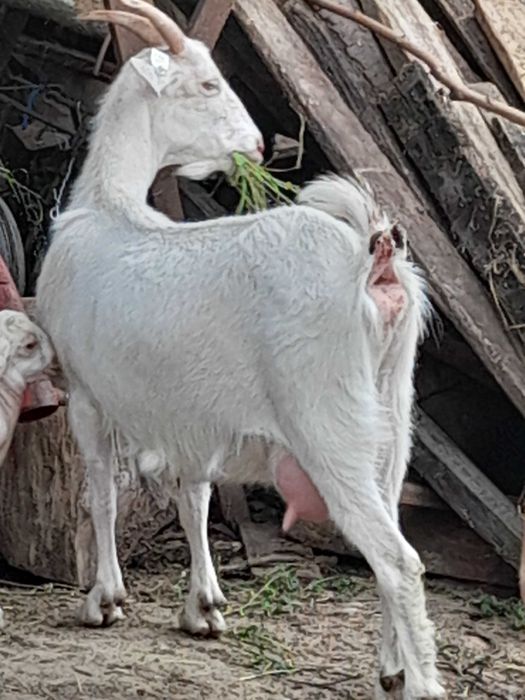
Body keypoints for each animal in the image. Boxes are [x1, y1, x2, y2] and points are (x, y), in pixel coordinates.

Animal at [35, 2, 445, 697]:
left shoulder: (86, 394)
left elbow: (102, 492)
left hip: (327, 420)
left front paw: (104, 600)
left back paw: (417, 681)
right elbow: (195, 497)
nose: (255, 148)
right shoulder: (191, 416)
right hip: (391, 418)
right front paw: (203, 608)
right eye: (205, 84)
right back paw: (392, 665)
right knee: (391, 525)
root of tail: (375, 261)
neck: (110, 209)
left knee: (398, 559)